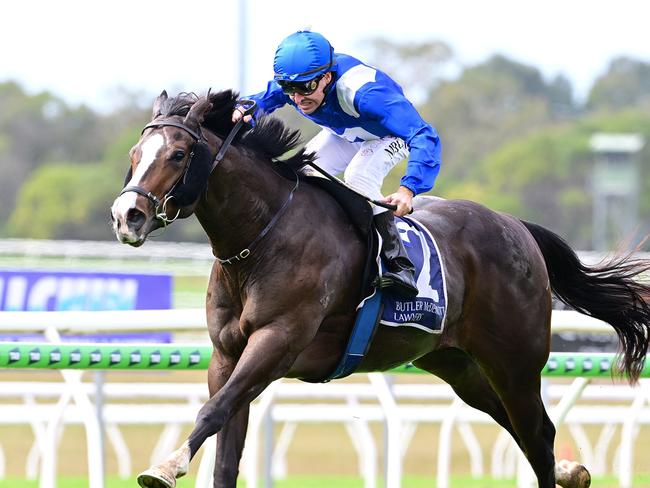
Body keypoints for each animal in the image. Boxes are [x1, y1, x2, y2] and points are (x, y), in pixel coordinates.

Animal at [110, 89, 648, 486]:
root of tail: (516, 226)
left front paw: (165, 466)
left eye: (178, 154)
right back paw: (571, 470)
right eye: (135, 155)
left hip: (515, 360)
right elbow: (225, 446)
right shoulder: (227, 354)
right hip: (457, 362)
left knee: (537, 435)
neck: (261, 238)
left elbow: (212, 411)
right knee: (521, 426)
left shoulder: (279, 340)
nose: (125, 216)